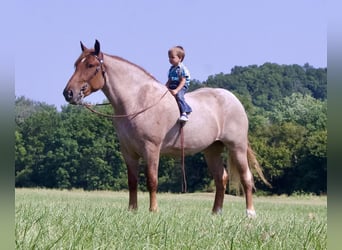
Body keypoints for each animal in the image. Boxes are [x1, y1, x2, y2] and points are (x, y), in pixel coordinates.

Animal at [63, 40, 270, 217]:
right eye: (76, 64)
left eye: (91, 65)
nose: (69, 93)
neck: (137, 101)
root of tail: (233, 99)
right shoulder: (128, 152)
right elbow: (132, 182)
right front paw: (132, 210)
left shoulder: (151, 149)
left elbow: (152, 180)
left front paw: (153, 210)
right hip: (212, 150)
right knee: (221, 179)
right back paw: (215, 212)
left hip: (237, 147)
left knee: (246, 177)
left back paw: (250, 213)